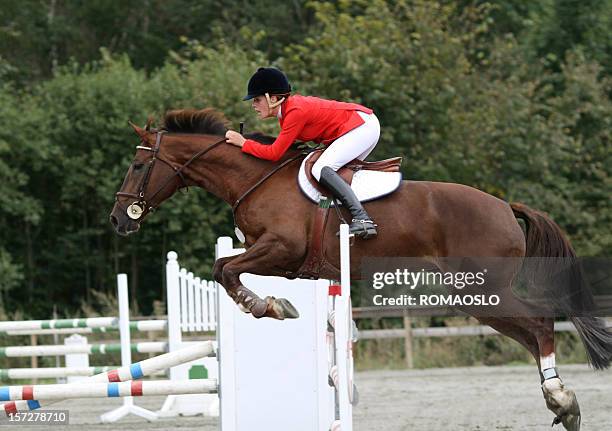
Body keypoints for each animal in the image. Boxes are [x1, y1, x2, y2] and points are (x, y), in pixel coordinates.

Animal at [107, 108, 608, 431]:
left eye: (138, 164)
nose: (117, 220)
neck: (255, 179)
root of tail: (506, 207)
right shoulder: (277, 258)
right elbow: (226, 267)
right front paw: (273, 303)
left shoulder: (280, 249)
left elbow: (224, 269)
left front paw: (268, 306)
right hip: (476, 296)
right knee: (530, 334)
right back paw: (562, 403)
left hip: (485, 289)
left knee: (540, 326)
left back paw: (562, 401)